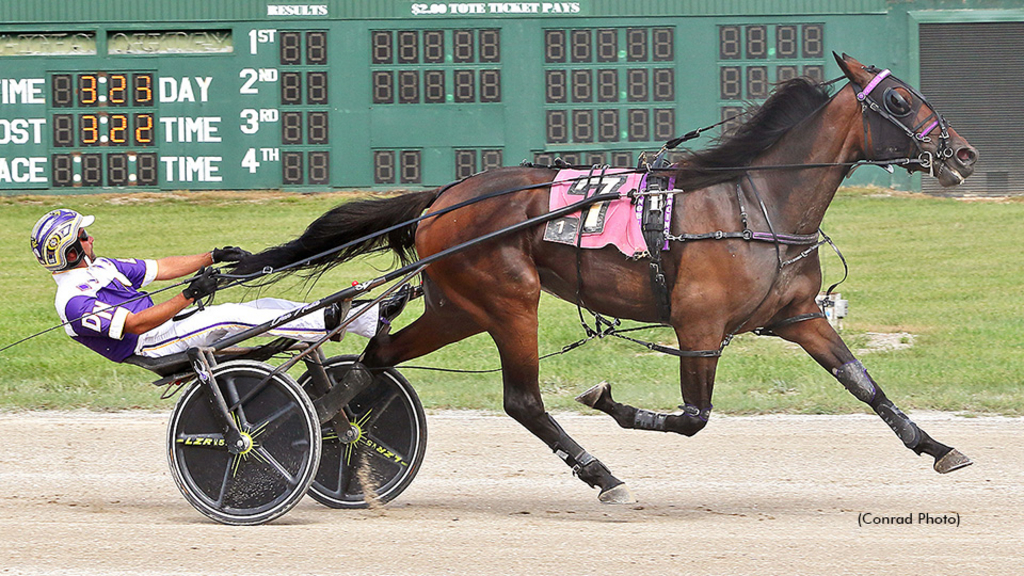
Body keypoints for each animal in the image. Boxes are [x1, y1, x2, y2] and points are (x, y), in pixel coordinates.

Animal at [232, 54, 974, 502]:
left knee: (377, 358)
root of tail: (446, 195)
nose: (963, 154)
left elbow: (867, 386)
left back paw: (329, 425)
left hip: (457, 306)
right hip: (510, 298)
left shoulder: (800, 316)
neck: (752, 202)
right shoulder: (698, 324)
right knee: (522, 401)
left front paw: (938, 447)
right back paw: (601, 473)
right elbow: (693, 417)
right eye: (900, 101)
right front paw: (608, 400)